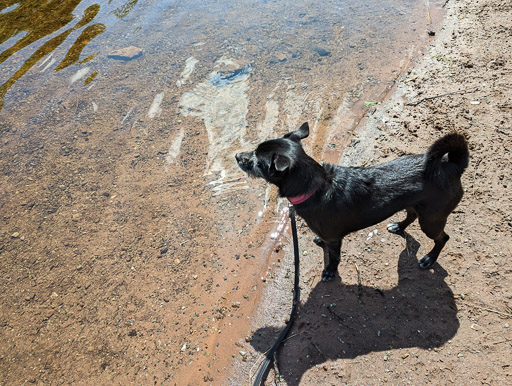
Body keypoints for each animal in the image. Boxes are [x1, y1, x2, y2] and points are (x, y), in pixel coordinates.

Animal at [236, 123, 468, 280]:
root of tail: (451, 166)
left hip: (431, 220)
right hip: (416, 207)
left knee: (443, 238)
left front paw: (330, 271)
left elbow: (334, 257)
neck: (317, 187)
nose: (237, 156)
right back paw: (399, 226)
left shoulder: (334, 239)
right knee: (411, 214)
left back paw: (429, 258)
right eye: (254, 150)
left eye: (257, 161)